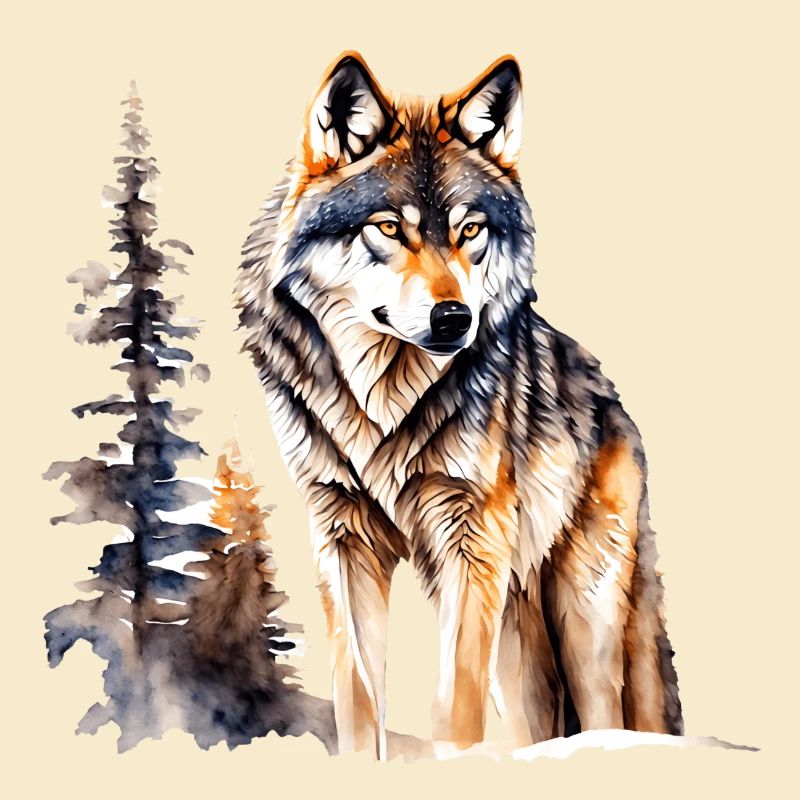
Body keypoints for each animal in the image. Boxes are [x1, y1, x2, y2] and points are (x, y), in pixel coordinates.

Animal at [236, 51, 682, 758]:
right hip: (518, 638)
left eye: (470, 230)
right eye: (389, 228)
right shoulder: (341, 534)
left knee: (608, 709)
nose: (455, 318)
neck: (382, 403)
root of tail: (611, 396)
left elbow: (453, 703)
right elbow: (357, 695)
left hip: (585, 613)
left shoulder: (471, 539)